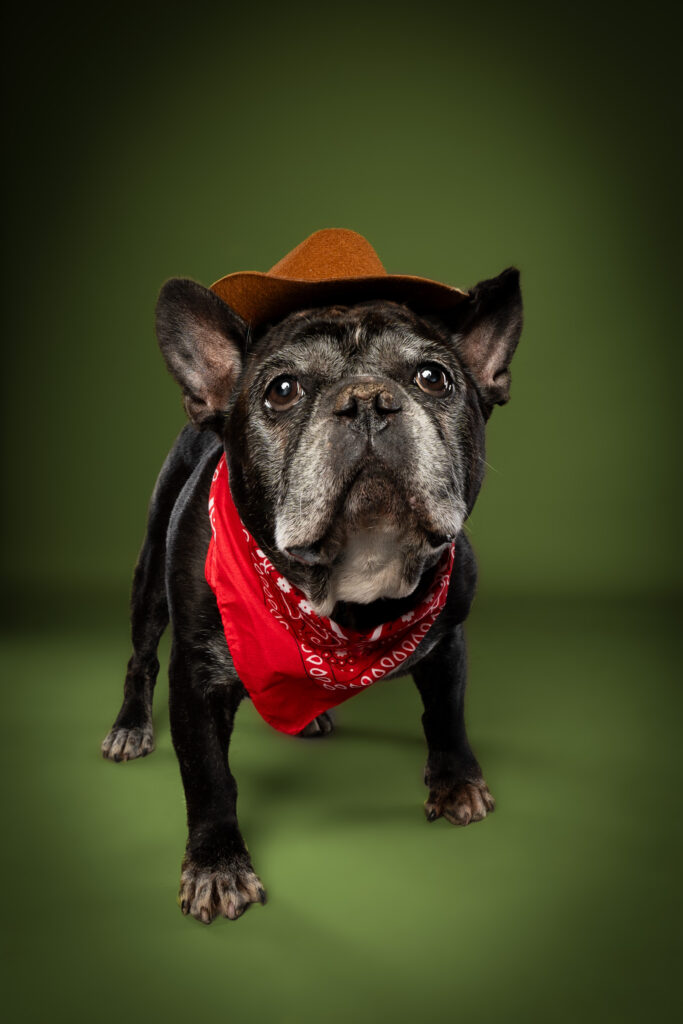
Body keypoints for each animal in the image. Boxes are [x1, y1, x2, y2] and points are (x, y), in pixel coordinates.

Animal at [101, 230, 524, 921]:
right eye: (282, 390)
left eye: (434, 377)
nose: (368, 401)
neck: (347, 596)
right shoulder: (197, 677)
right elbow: (208, 775)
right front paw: (217, 864)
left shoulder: (448, 640)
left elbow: (446, 712)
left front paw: (456, 781)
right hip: (149, 585)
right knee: (141, 654)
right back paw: (130, 726)